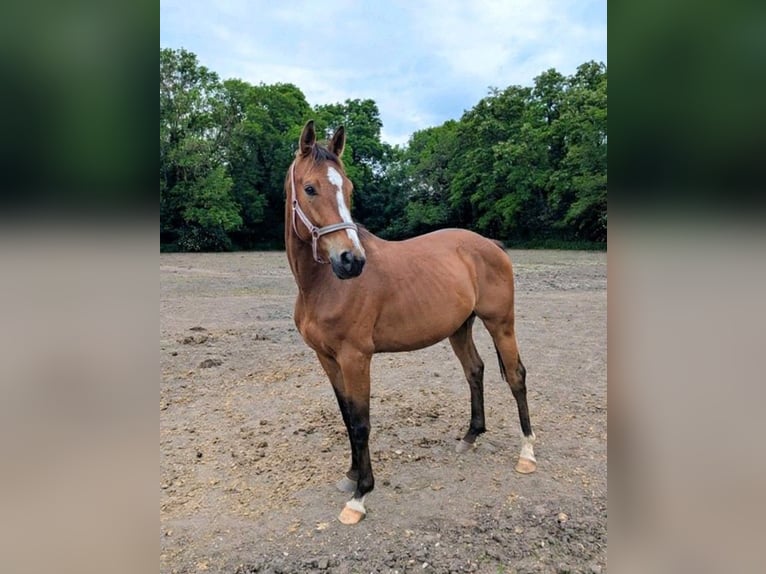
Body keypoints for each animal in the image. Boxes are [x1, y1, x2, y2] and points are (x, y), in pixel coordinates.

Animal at [284, 120, 536, 525]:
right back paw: (471, 436)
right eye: (310, 188)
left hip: (501, 323)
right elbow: (346, 416)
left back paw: (527, 453)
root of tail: (491, 244)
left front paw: (360, 495)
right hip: (459, 328)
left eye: (349, 189)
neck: (322, 285)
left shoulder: (356, 358)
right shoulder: (326, 358)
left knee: (516, 376)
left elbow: (361, 421)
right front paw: (350, 475)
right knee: (475, 370)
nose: (351, 260)